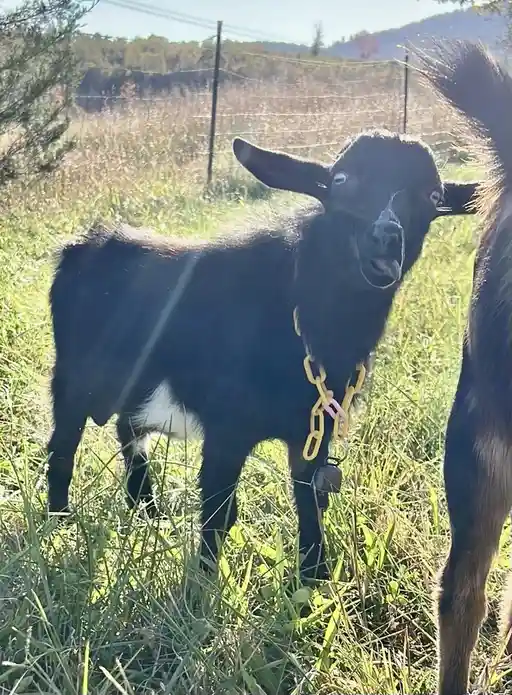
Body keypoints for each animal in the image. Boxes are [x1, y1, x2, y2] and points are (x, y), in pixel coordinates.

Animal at [46, 130, 476, 581]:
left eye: (432, 195)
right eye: (340, 180)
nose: (386, 238)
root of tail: (84, 243)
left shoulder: (313, 430)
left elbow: (309, 500)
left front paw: (314, 576)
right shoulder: (226, 429)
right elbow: (219, 512)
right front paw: (201, 587)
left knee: (128, 430)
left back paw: (147, 511)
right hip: (72, 377)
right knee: (63, 445)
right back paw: (61, 522)